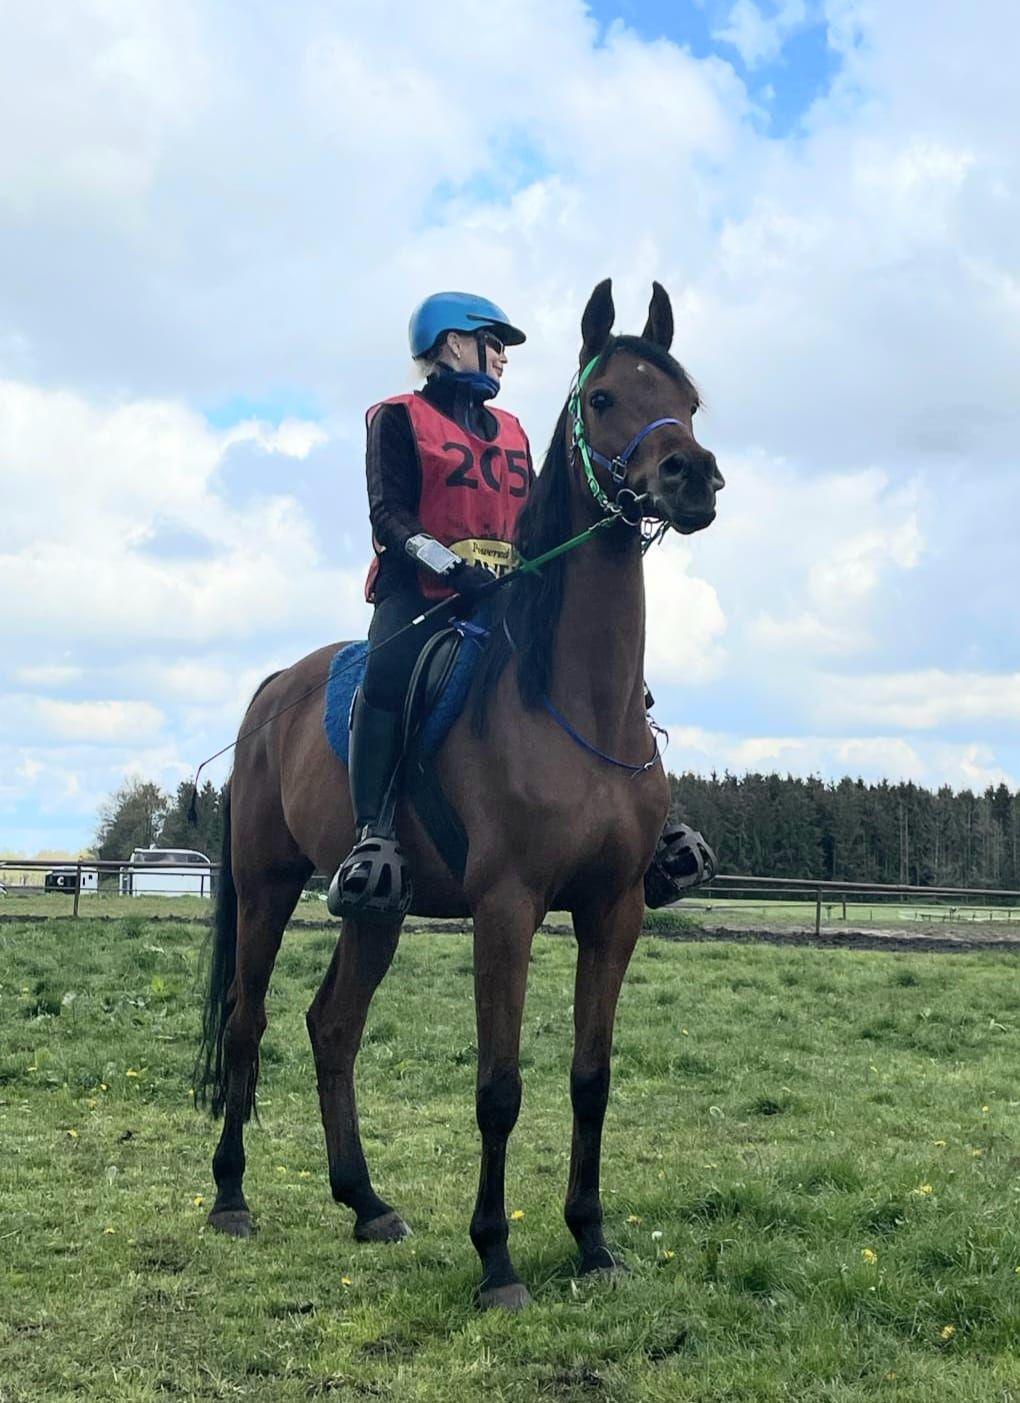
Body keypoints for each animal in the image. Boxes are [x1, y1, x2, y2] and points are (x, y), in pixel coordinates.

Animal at [194, 278, 724, 1310]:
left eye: (688, 394)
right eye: (606, 397)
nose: (694, 477)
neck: (574, 701)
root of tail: (274, 689)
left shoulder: (613, 908)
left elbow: (590, 1077)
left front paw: (592, 1243)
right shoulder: (506, 907)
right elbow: (500, 1087)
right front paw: (498, 1262)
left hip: (378, 911)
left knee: (332, 1027)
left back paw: (365, 1203)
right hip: (267, 889)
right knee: (247, 1024)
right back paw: (231, 1197)